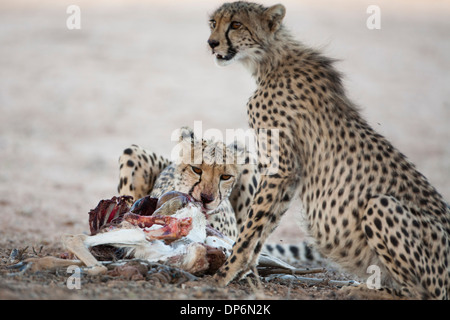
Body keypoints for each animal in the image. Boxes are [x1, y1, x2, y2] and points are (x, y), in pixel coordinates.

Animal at [207, 1, 450, 298]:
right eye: (213, 23)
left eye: (236, 24)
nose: (211, 43)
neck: (271, 60)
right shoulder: (289, 174)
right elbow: (265, 224)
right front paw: (247, 271)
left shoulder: (280, 168)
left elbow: (252, 226)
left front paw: (224, 274)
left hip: (381, 205)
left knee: (421, 293)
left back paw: (362, 290)